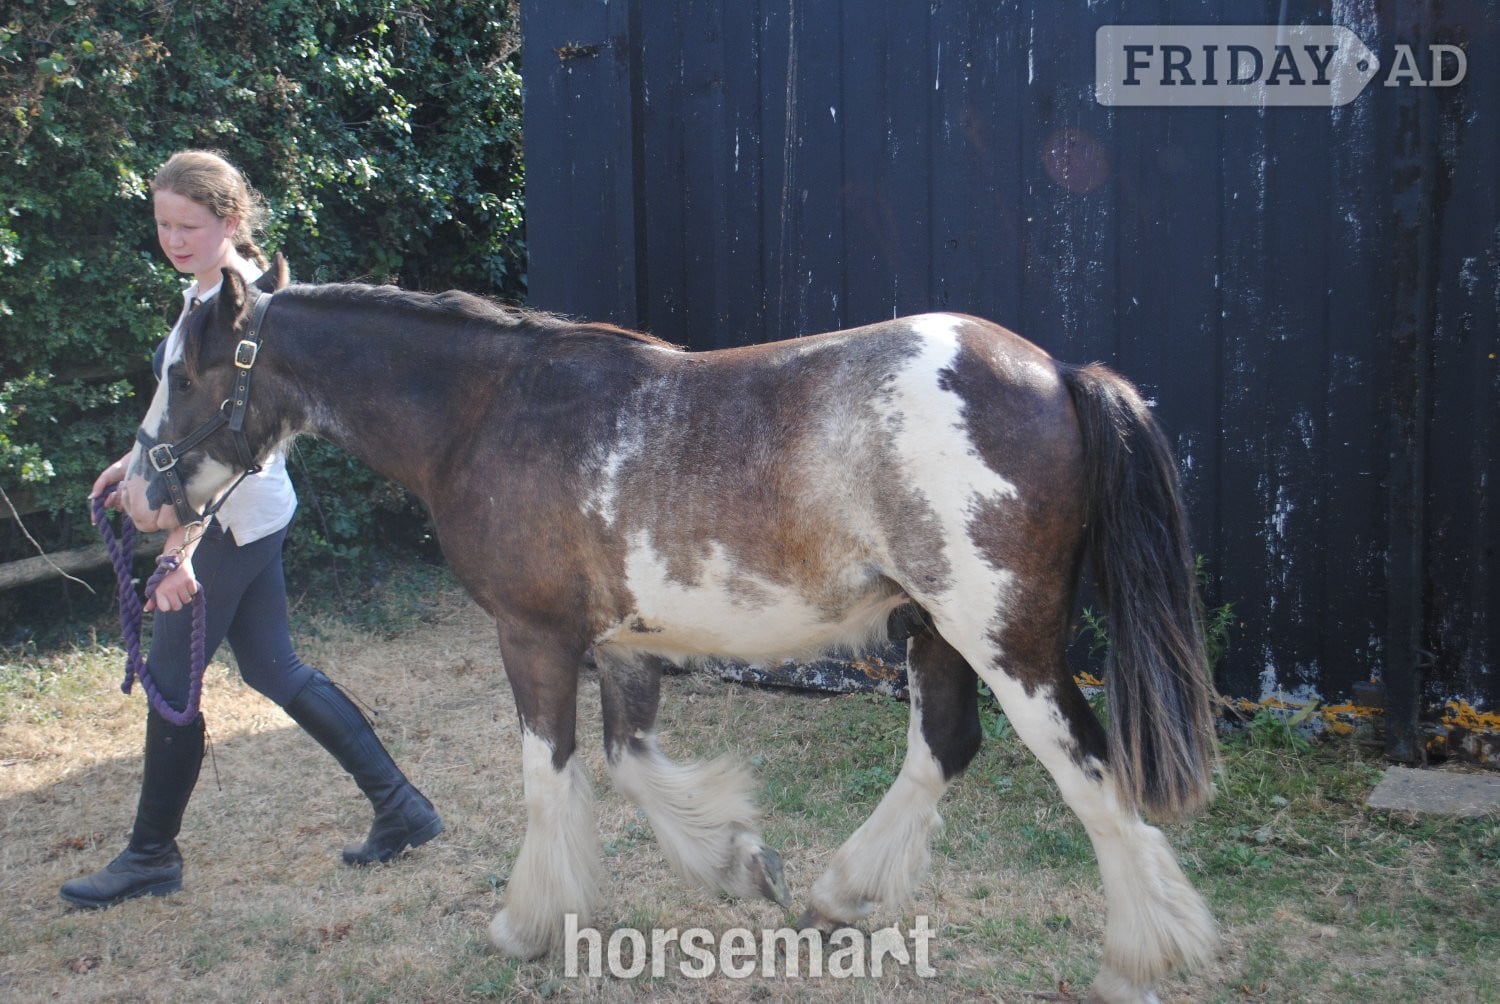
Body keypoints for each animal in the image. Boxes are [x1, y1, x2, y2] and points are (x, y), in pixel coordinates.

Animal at [116, 255, 1218, 1002]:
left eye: (180, 372)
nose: (135, 494)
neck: (484, 414)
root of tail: (1059, 373)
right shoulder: (618, 646)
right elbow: (631, 761)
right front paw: (738, 861)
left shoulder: (534, 637)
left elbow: (551, 774)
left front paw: (528, 922)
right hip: (937, 632)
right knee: (945, 746)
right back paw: (838, 891)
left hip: (1007, 639)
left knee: (1091, 772)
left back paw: (1141, 953)